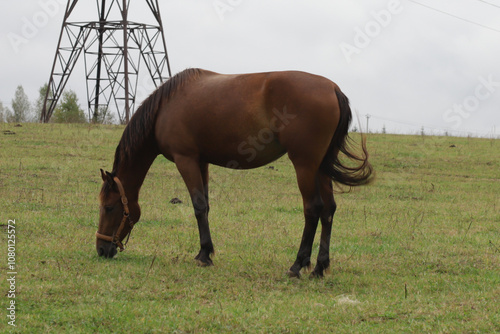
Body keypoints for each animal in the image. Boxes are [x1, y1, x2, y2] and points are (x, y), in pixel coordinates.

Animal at [96, 67, 372, 276]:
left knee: (313, 209)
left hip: (305, 165)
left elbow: (198, 206)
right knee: (328, 210)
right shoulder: (201, 162)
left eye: (108, 207)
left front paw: (204, 255)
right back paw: (320, 267)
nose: (101, 249)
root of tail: (332, 88)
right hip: (321, 167)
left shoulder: (185, 160)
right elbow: (205, 205)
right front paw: (205, 251)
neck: (165, 107)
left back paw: (298, 265)